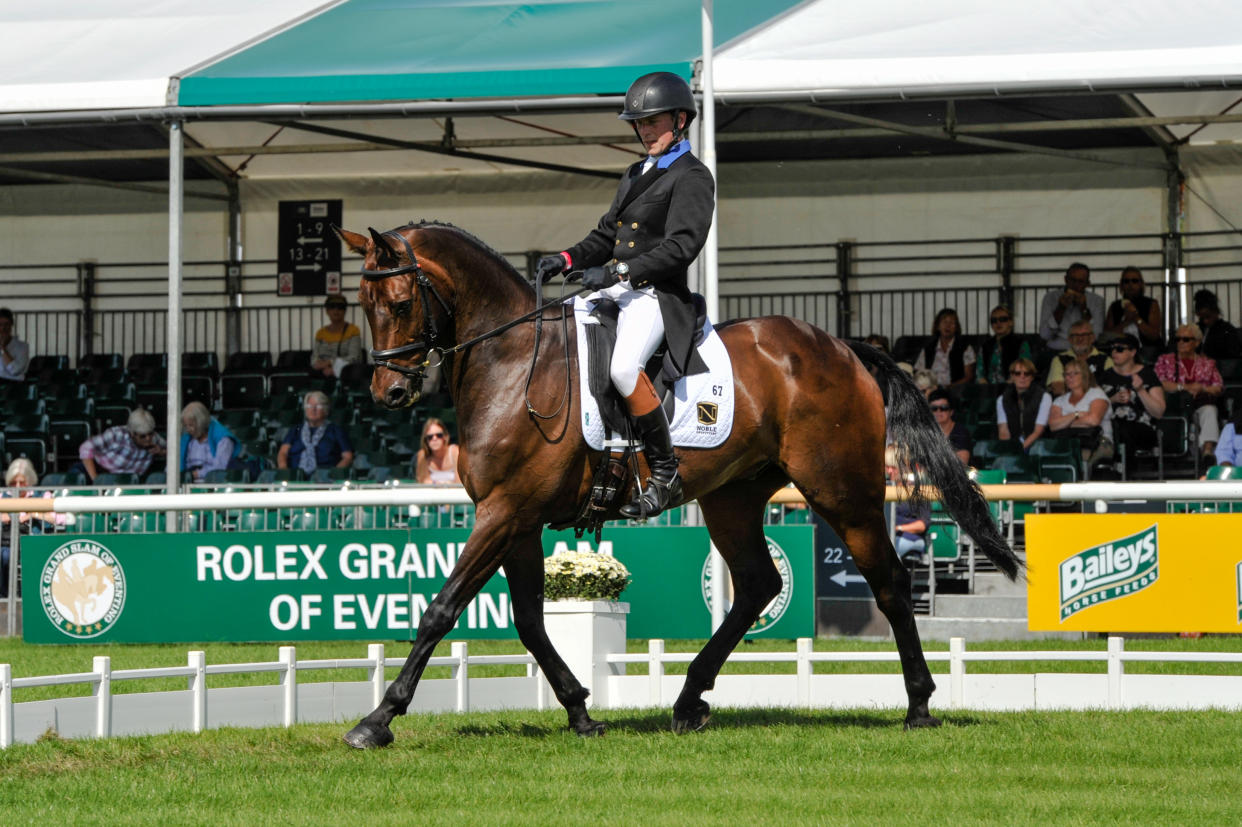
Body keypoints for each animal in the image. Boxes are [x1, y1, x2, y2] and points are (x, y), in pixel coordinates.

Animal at [330, 221, 1018, 745]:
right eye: (364, 307)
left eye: (399, 304)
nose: (389, 394)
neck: (514, 362)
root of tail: (843, 347)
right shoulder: (516, 519)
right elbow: (528, 620)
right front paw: (580, 710)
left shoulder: (504, 513)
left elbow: (441, 610)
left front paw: (378, 719)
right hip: (733, 496)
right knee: (758, 585)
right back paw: (689, 700)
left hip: (843, 493)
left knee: (891, 584)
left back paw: (920, 705)